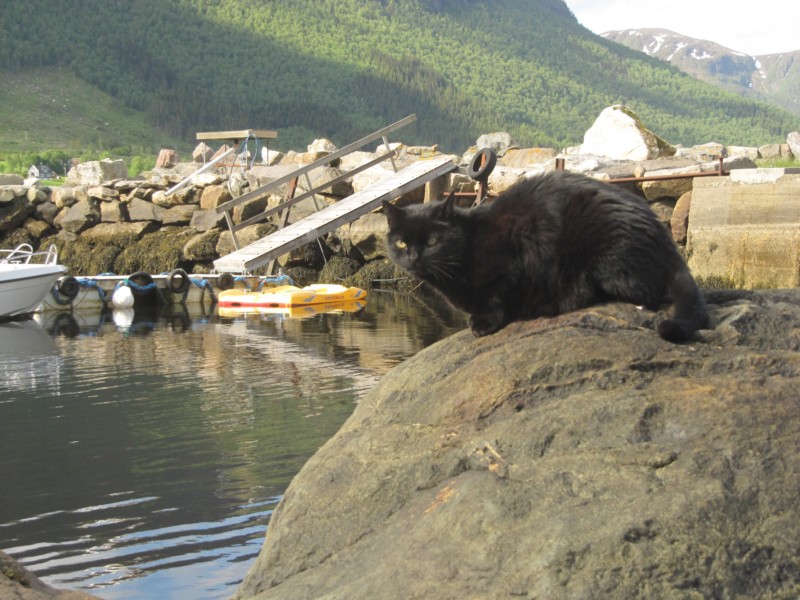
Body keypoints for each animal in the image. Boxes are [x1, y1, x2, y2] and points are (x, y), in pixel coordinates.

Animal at [384, 169, 708, 342]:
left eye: (432, 241)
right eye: (400, 243)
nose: (413, 257)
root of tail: (667, 243)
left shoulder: (511, 261)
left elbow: (498, 297)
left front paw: (484, 323)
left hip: (606, 253)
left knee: (644, 294)